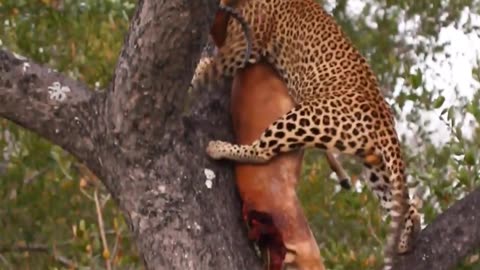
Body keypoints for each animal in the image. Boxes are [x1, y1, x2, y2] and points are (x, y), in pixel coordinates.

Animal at [191, 0, 420, 266]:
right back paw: (407, 236)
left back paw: (219, 148)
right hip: (376, 167)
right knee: (404, 204)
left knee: (263, 151)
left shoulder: (243, 47)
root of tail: (385, 119)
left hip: (306, 117)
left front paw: (197, 74)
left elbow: (216, 63)